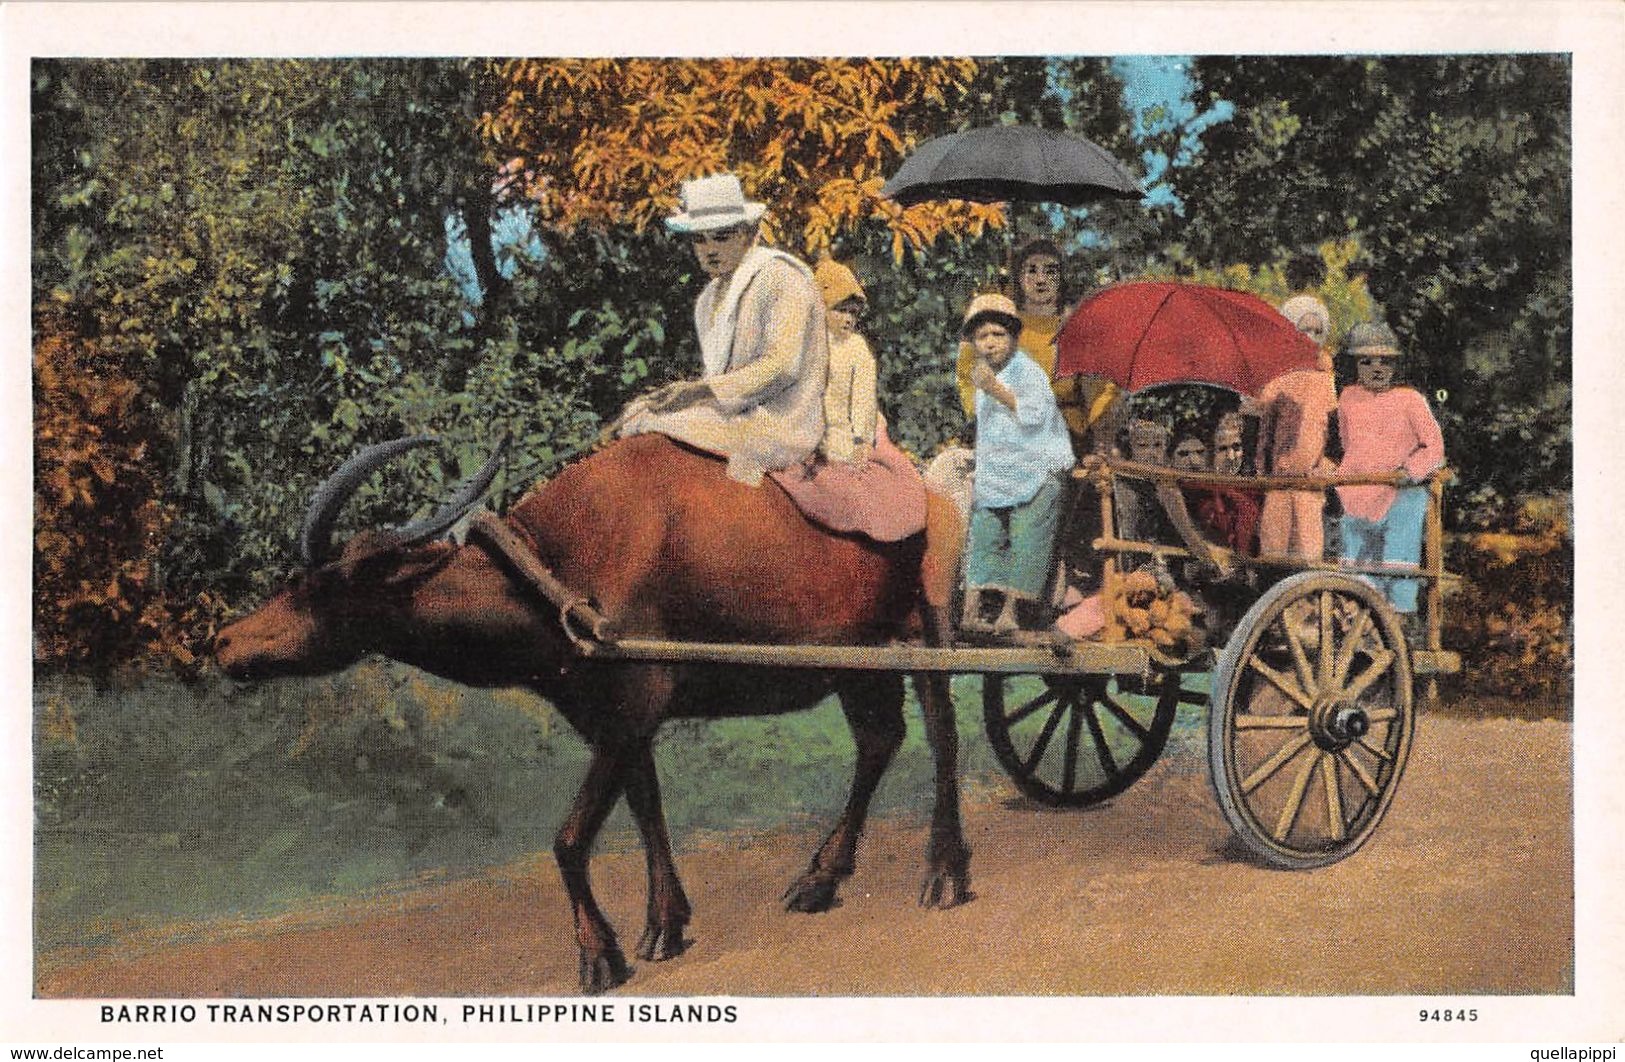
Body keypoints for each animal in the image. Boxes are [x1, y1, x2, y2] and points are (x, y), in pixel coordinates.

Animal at [216, 435, 975, 1000]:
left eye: (317, 590)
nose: (224, 642)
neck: (555, 576)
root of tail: (932, 488)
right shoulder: (617, 718)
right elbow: (646, 810)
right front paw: (664, 927)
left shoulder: (627, 712)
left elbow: (568, 838)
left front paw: (599, 956)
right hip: (856, 663)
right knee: (879, 740)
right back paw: (820, 878)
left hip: (922, 630)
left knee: (941, 734)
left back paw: (943, 875)